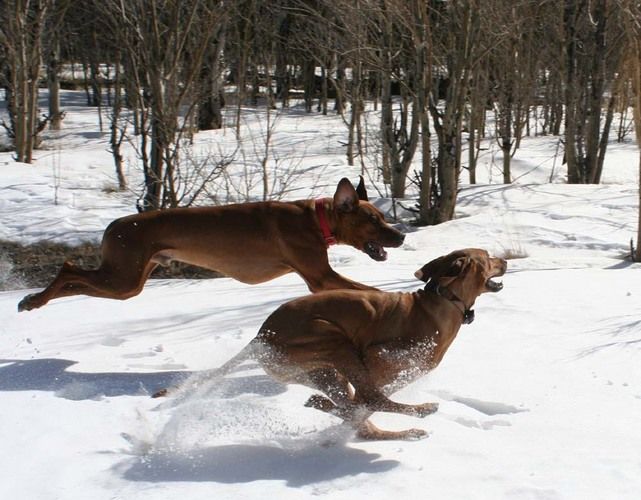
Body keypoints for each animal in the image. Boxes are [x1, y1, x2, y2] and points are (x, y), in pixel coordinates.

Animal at [18, 177, 404, 311]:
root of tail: (113, 225)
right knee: (68, 268)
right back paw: (34, 299)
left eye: (384, 217)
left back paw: (35, 300)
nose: (401, 235)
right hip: (123, 277)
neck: (315, 218)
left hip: (128, 281)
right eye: (374, 220)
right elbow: (367, 288)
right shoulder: (320, 276)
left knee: (75, 282)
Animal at [153, 248, 507, 441]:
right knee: (369, 401)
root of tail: (260, 337)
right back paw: (419, 412)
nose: (504, 260)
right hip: (333, 340)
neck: (442, 301)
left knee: (358, 417)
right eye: (487, 256)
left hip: (321, 372)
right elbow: (370, 397)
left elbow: (360, 407)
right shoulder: (378, 355)